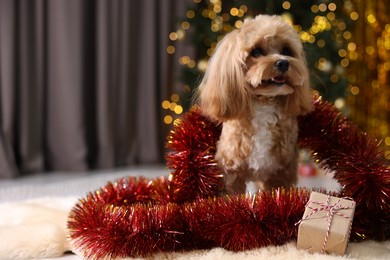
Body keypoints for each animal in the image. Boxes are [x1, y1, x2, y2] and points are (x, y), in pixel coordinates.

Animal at [198, 14, 314, 193]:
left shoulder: (280, 173)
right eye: (257, 51)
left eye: (286, 51)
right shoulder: (231, 172)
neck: (264, 103)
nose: (283, 63)